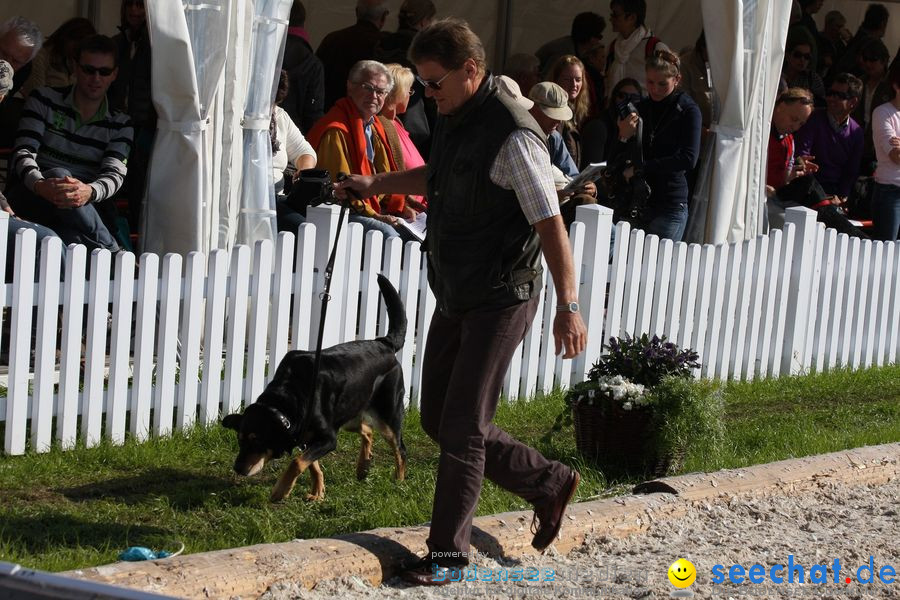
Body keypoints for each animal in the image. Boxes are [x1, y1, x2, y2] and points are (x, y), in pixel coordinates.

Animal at [221, 274, 408, 500]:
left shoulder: (328, 438)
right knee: (367, 430)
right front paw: (317, 492)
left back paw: (399, 481)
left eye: (257, 441)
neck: (287, 399)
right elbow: (311, 464)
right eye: (240, 440)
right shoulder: (308, 437)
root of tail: (385, 343)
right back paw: (362, 467)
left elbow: (297, 461)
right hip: (349, 413)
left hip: (388, 415)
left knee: (399, 448)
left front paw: (280, 491)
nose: (238, 469)